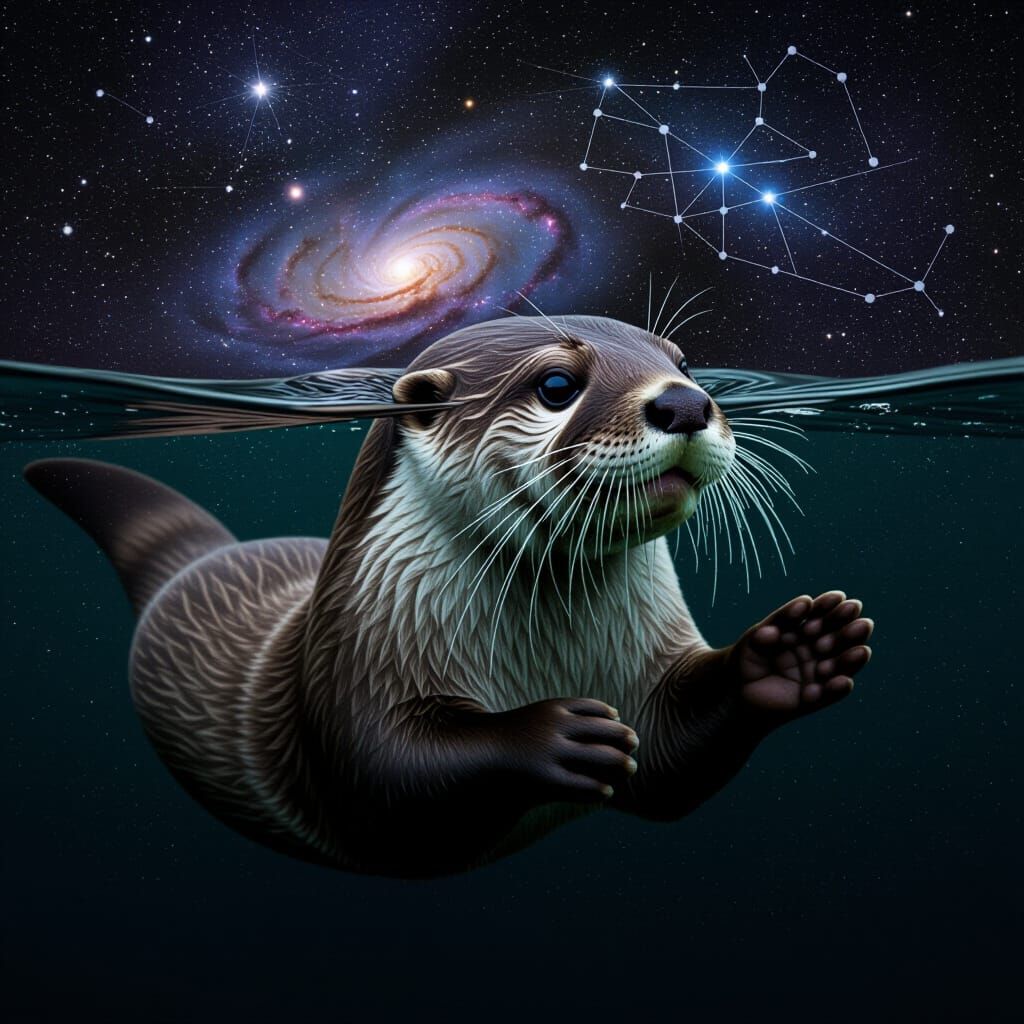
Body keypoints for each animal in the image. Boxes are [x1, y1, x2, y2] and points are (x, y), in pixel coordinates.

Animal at [24, 315, 873, 877]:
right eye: (557, 385)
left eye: (688, 363)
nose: (688, 402)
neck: (550, 650)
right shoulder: (352, 668)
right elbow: (385, 773)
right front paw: (551, 735)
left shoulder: (648, 671)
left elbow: (670, 763)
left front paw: (794, 652)